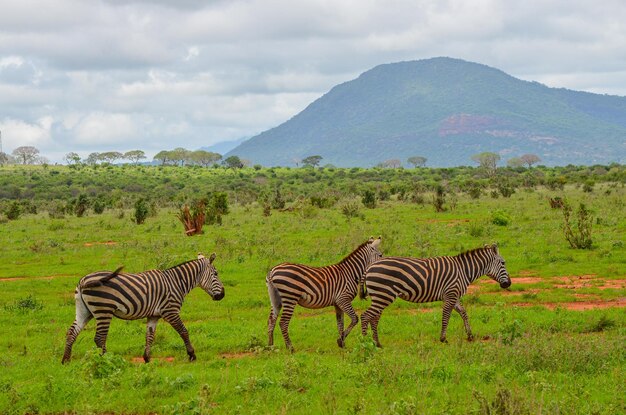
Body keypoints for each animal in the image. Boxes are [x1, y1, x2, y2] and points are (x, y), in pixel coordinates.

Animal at [61, 252, 225, 362]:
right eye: (216, 274)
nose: (222, 295)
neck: (176, 282)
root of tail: (83, 280)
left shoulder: (154, 315)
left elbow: (150, 336)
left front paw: (147, 358)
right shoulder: (170, 311)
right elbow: (184, 331)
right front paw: (192, 355)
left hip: (84, 311)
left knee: (71, 332)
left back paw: (66, 361)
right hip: (103, 310)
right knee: (99, 338)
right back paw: (106, 359)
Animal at [358, 244, 510, 348]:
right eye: (503, 263)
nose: (508, 283)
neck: (463, 271)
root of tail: (369, 267)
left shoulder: (454, 295)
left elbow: (464, 313)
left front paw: (470, 335)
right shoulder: (451, 294)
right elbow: (446, 317)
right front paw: (443, 339)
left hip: (380, 296)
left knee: (374, 318)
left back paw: (377, 343)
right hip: (383, 295)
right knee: (366, 316)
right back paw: (365, 343)